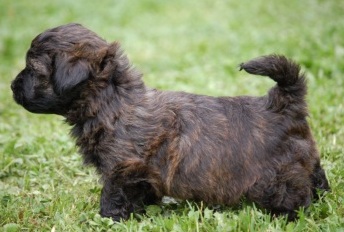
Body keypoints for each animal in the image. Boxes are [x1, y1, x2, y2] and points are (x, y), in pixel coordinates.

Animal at [10, 23, 330, 221]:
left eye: (33, 69)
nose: (12, 86)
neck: (111, 101)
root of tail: (284, 102)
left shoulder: (121, 167)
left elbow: (112, 195)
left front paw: (108, 218)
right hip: (306, 156)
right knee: (317, 175)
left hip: (279, 174)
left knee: (294, 193)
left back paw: (286, 216)